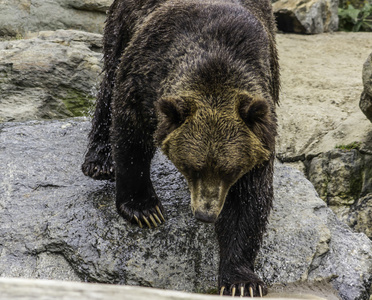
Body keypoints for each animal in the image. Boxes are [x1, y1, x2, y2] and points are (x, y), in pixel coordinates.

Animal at [82, 0, 280, 296]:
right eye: (191, 167)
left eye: (230, 171)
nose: (205, 214)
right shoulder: (146, 72)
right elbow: (130, 135)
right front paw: (145, 210)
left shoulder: (260, 131)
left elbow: (248, 199)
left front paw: (242, 281)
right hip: (122, 23)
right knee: (109, 80)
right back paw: (99, 160)